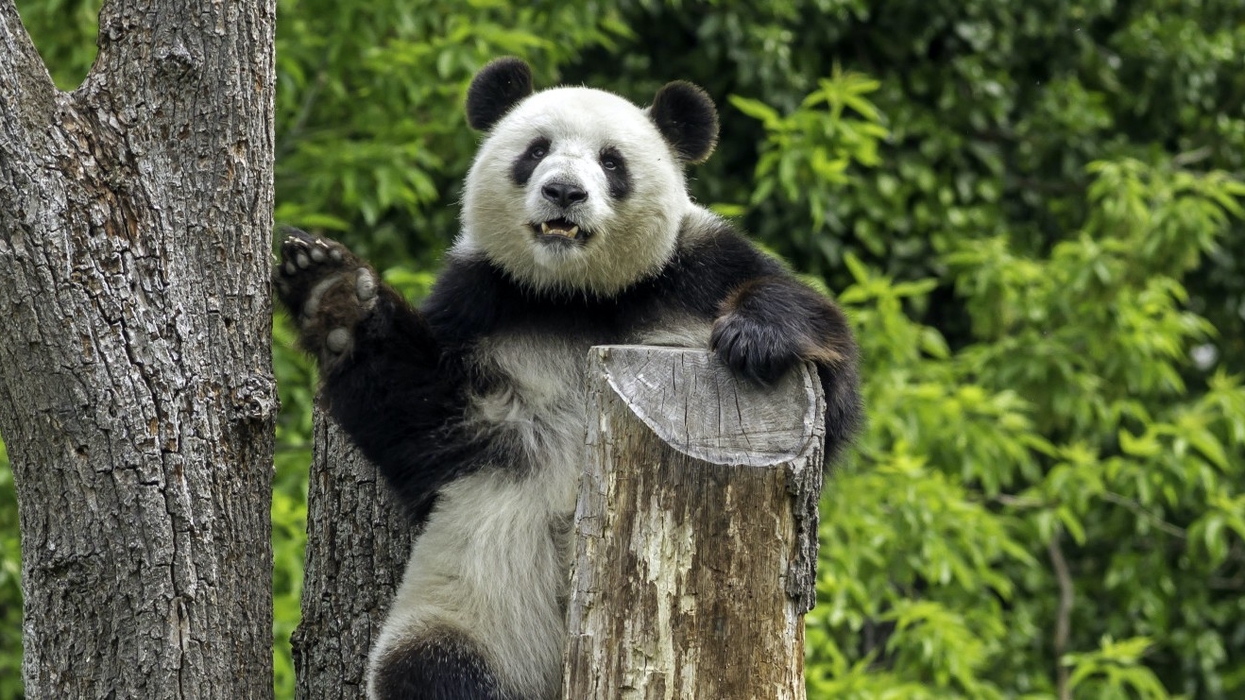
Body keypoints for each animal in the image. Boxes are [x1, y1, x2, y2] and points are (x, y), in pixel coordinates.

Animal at [275, 57, 862, 700]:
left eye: (611, 161)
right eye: (536, 150)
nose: (564, 191)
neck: (576, 296)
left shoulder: (695, 274)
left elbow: (830, 383)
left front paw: (755, 336)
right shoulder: (478, 303)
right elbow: (419, 414)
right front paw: (334, 297)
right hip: (476, 617)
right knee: (428, 668)